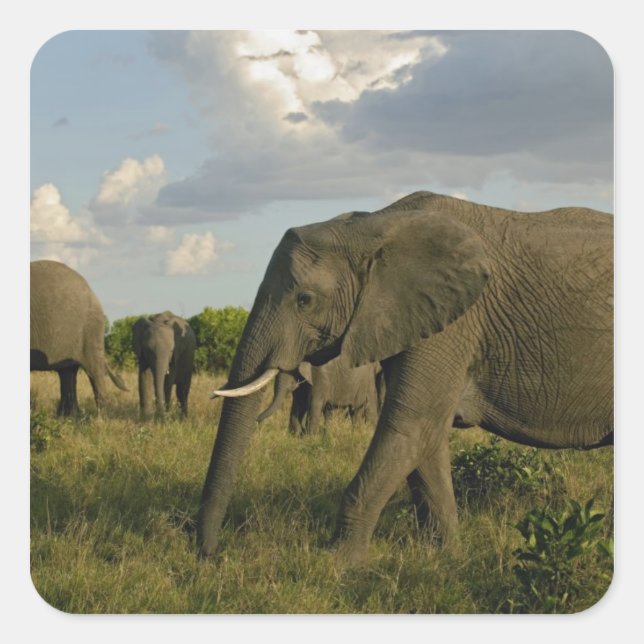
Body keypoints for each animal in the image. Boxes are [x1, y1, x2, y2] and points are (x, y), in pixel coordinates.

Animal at [30, 260, 128, 416]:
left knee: (94, 370)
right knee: (67, 372)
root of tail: (91, 290)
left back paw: (101, 418)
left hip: (91, 329)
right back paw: (68, 418)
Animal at [197, 191, 613, 566]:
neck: (372, 227)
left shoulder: (455, 323)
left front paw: (335, 565)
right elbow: (425, 441)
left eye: (305, 300)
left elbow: (411, 426)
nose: (210, 555)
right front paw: (445, 559)